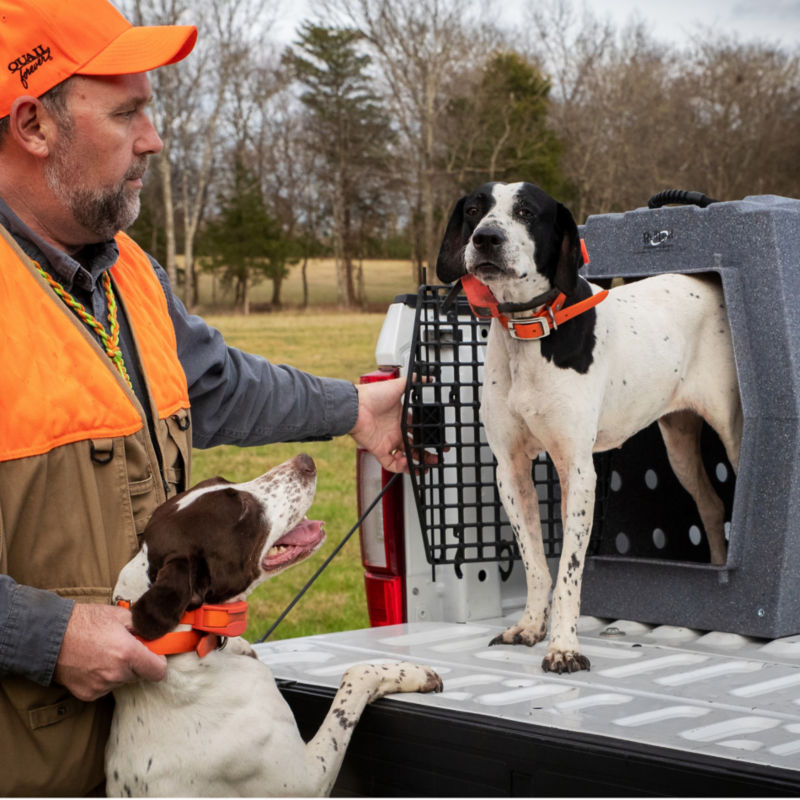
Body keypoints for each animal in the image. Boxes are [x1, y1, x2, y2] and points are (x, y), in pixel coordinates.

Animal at [108, 454, 444, 796]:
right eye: (242, 508)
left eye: (223, 480)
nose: (305, 460)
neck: (186, 645)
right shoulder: (306, 780)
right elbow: (354, 679)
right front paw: (410, 672)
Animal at [438, 183, 744, 676]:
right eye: (472, 210)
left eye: (526, 211)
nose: (486, 238)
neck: (531, 332)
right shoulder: (511, 470)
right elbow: (536, 563)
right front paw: (529, 627)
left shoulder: (578, 472)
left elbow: (568, 572)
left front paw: (564, 647)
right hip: (678, 443)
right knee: (712, 506)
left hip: (733, 434)